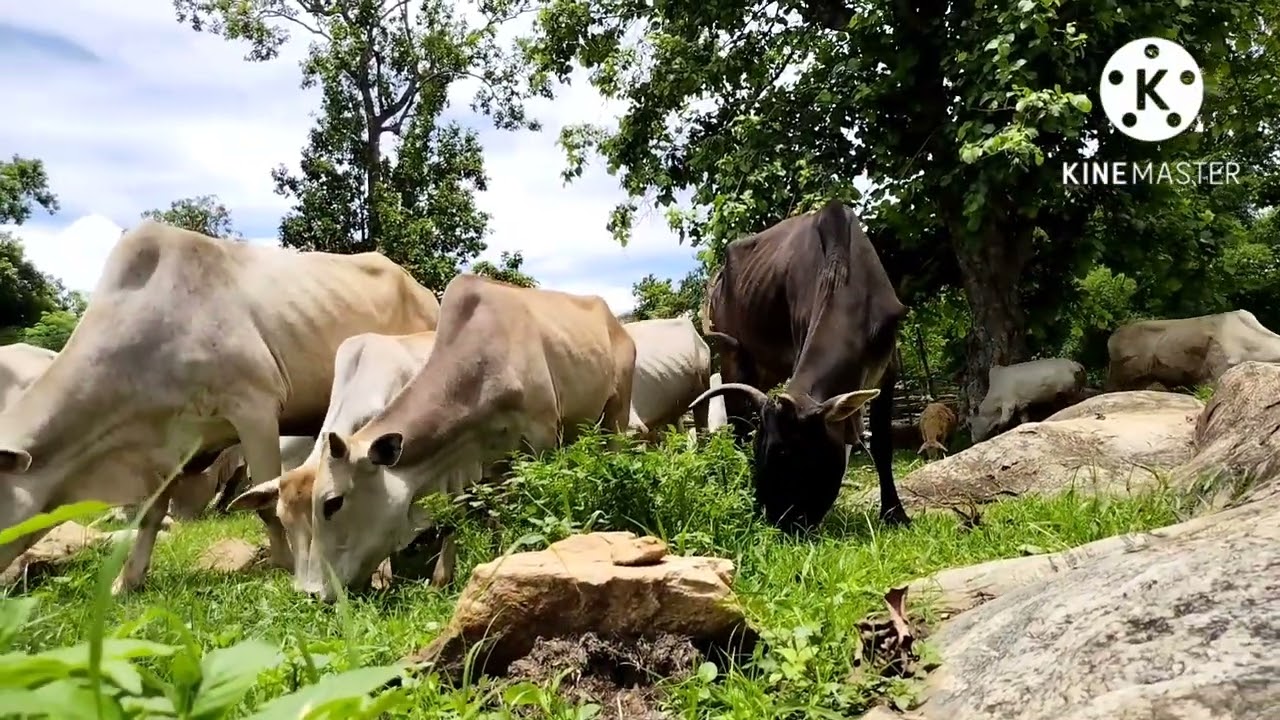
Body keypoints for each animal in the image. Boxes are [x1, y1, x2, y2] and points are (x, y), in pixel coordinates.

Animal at [688, 200, 909, 532]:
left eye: (787, 454)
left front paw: (895, 514)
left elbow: (883, 444)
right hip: (732, 357)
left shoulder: (889, 367)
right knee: (738, 424)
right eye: (761, 454)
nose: (779, 525)